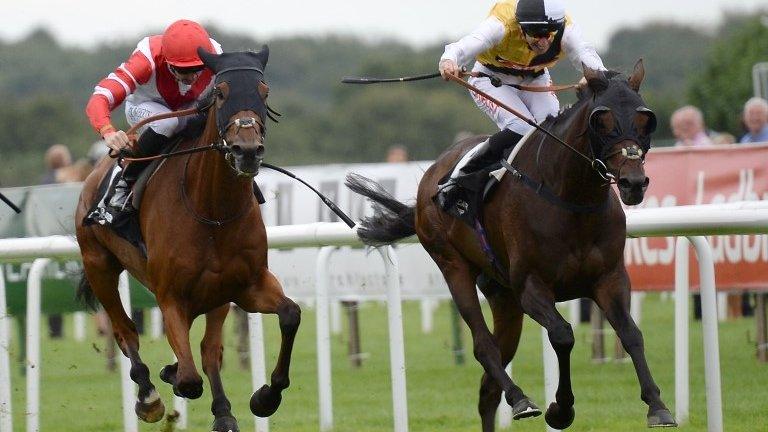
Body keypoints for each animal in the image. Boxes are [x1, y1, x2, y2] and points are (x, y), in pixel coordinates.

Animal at [73, 46, 300, 432]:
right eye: (220, 92)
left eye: (264, 91)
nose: (247, 150)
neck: (213, 210)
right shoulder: (171, 296)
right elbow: (190, 379)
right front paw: (171, 377)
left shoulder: (246, 285)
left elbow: (289, 314)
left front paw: (265, 397)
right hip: (99, 265)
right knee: (125, 331)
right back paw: (149, 396)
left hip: (215, 295)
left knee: (209, 350)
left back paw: (221, 410)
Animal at [348, 62, 680, 430]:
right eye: (602, 120)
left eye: (645, 120)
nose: (633, 183)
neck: (571, 199)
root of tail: (432, 176)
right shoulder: (531, 287)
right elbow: (562, 335)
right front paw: (560, 409)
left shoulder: (609, 278)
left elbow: (631, 333)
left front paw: (657, 405)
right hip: (453, 265)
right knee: (484, 347)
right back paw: (521, 399)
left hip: (502, 296)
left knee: (488, 387)